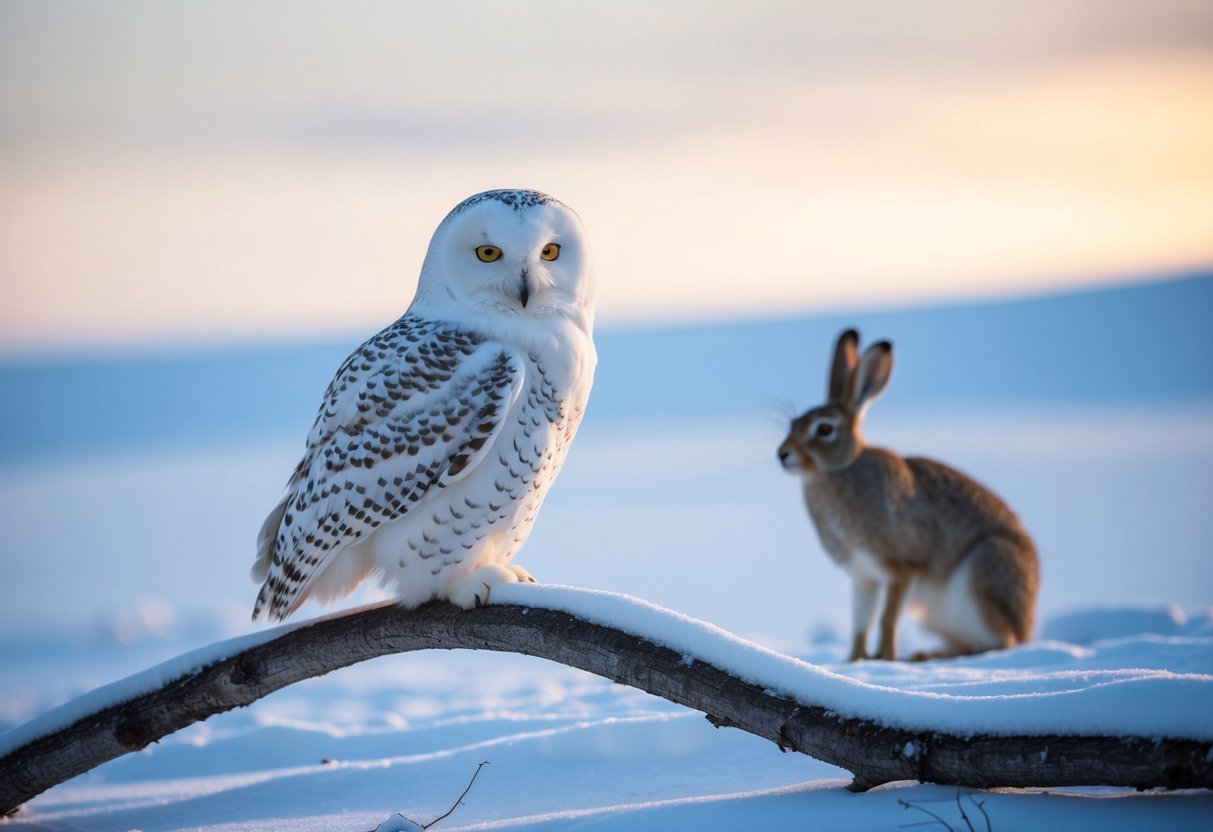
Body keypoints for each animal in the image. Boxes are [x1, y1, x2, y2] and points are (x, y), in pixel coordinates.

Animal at [777, 328, 1039, 661]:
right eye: (793, 423)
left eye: (824, 429)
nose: (783, 454)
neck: (843, 468)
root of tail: (1026, 624)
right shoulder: (863, 577)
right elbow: (860, 623)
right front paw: (855, 661)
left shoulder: (904, 568)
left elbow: (887, 618)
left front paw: (885, 658)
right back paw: (926, 655)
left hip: (984, 573)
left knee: (998, 643)